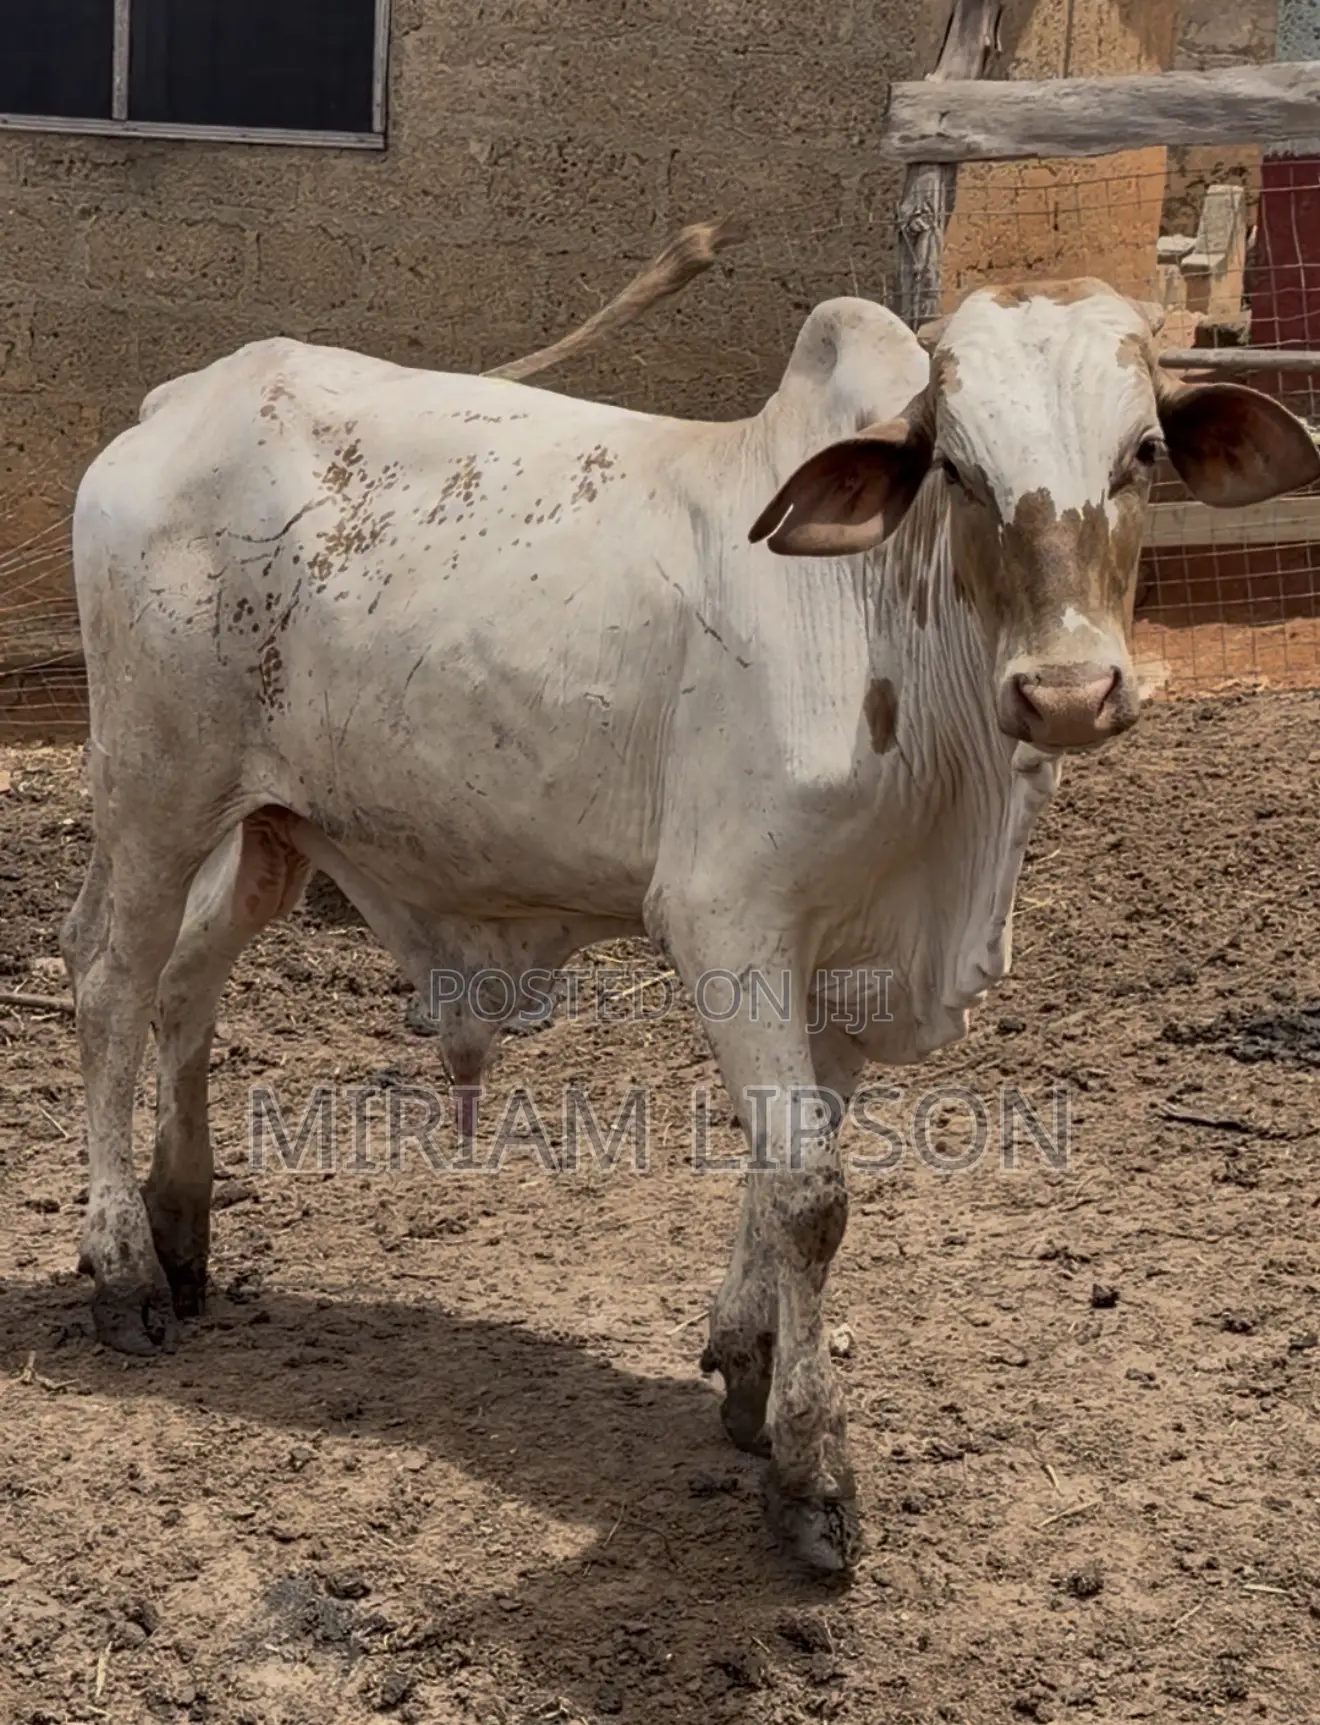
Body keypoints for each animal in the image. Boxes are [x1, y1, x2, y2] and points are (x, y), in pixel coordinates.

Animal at [60, 275, 1319, 1573]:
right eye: (957, 468)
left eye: (1144, 452)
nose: (1068, 692)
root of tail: (183, 400)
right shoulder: (731, 925)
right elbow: (810, 1195)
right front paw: (814, 1475)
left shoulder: (843, 976)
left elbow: (785, 1171)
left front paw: (747, 1367)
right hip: (156, 788)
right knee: (109, 979)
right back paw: (122, 1271)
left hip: (272, 825)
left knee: (186, 981)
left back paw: (183, 1231)